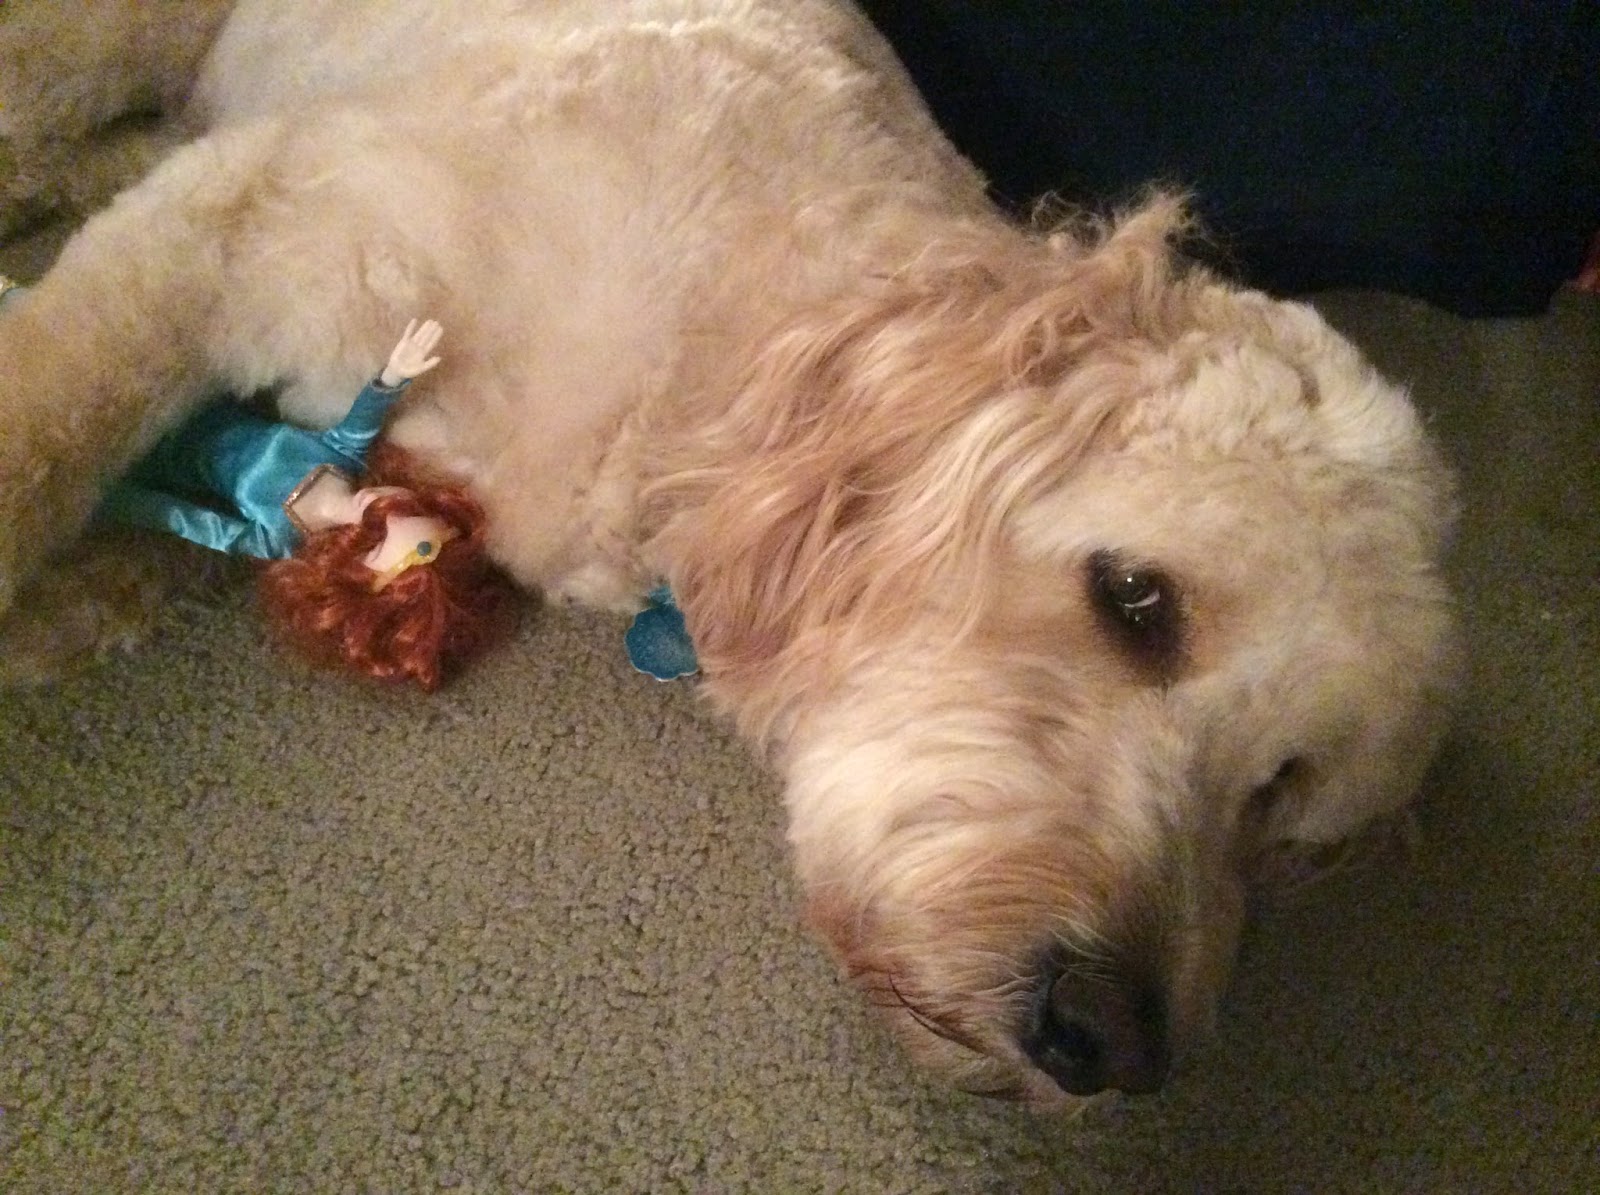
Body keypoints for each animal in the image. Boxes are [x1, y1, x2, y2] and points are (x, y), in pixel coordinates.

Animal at [0, 0, 1460, 1108]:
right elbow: (46, 418)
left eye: (1281, 793)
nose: (1110, 1042)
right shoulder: (253, 221)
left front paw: (76, 601)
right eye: (1137, 599)